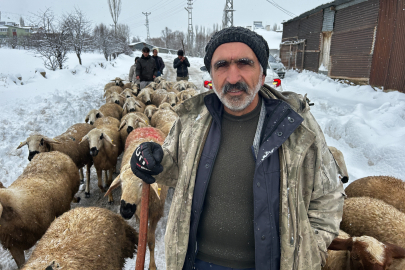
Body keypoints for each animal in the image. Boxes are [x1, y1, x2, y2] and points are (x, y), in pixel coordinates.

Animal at [105, 126, 167, 270]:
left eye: (141, 184)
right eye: (121, 183)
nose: (125, 210)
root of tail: (145, 126)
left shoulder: (156, 213)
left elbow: (150, 241)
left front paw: (152, 266)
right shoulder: (139, 214)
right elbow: (142, 238)